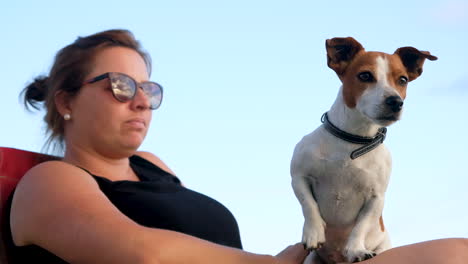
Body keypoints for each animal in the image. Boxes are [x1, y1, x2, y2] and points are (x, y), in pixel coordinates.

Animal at [290, 36, 436, 262]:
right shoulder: (298, 177)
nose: (396, 102)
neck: (353, 140)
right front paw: (313, 233)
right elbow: (309, 205)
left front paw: (356, 250)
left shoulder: (376, 198)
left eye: (402, 80)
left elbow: (361, 226)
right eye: (365, 75)